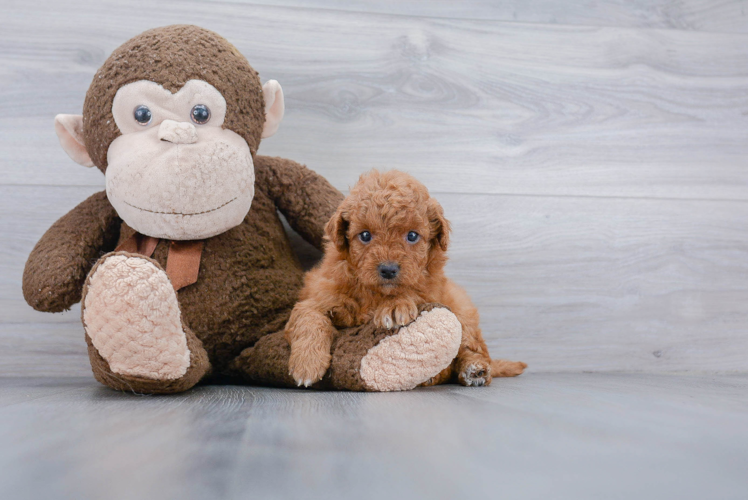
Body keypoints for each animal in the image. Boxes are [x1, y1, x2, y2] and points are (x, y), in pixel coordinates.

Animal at [286, 171, 524, 386]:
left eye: (412, 236)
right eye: (365, 235)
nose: (388, 269)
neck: (375, 293)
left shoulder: (429, 289)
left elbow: (412, 291)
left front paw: (394, 305)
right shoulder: (319, 296)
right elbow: (309, 317)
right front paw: (307, 363)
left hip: (462, 310)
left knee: (473, 348)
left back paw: (474, 370)